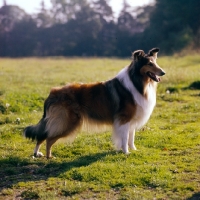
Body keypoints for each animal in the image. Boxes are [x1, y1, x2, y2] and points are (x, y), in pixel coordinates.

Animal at [24, 48, 166, 158]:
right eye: (149, 64)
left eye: (155, 62)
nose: (163, 72)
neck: (137, 82)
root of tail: (52, 93)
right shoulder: (124, 119)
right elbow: (125, 138)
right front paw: (126, 153)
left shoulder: (131, 120)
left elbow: (131, 137)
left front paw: (134, 150)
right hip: (66, 122)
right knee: (48, 138)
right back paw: (49, 157)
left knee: (41, 135)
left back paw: (37, 154)